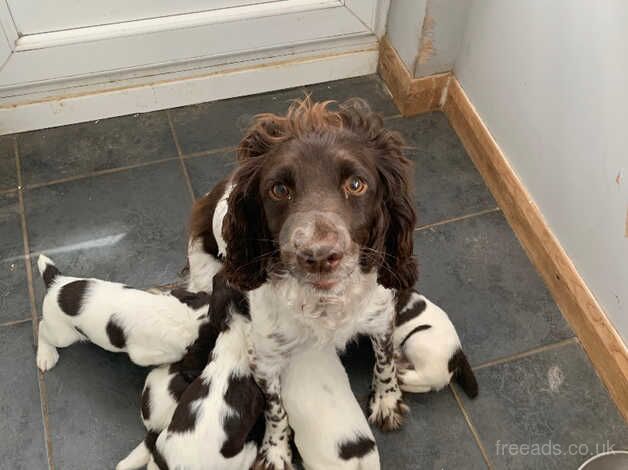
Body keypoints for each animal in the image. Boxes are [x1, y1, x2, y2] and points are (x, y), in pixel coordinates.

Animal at [36, 258, 209, 370]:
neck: (180, 316)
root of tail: (55, 282)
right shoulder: (140, 355)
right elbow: (171, 355)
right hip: (62, 335)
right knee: (42, 327)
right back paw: (45, 355)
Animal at [190, 97, 418, 468]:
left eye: (357, 184)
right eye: (279, 189)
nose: (319, 255)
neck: (324, 304)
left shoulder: (381, 316)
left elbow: (384, 361)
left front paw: (386, 400)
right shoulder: (264, 356)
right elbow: (275, 409)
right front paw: (276, 450)